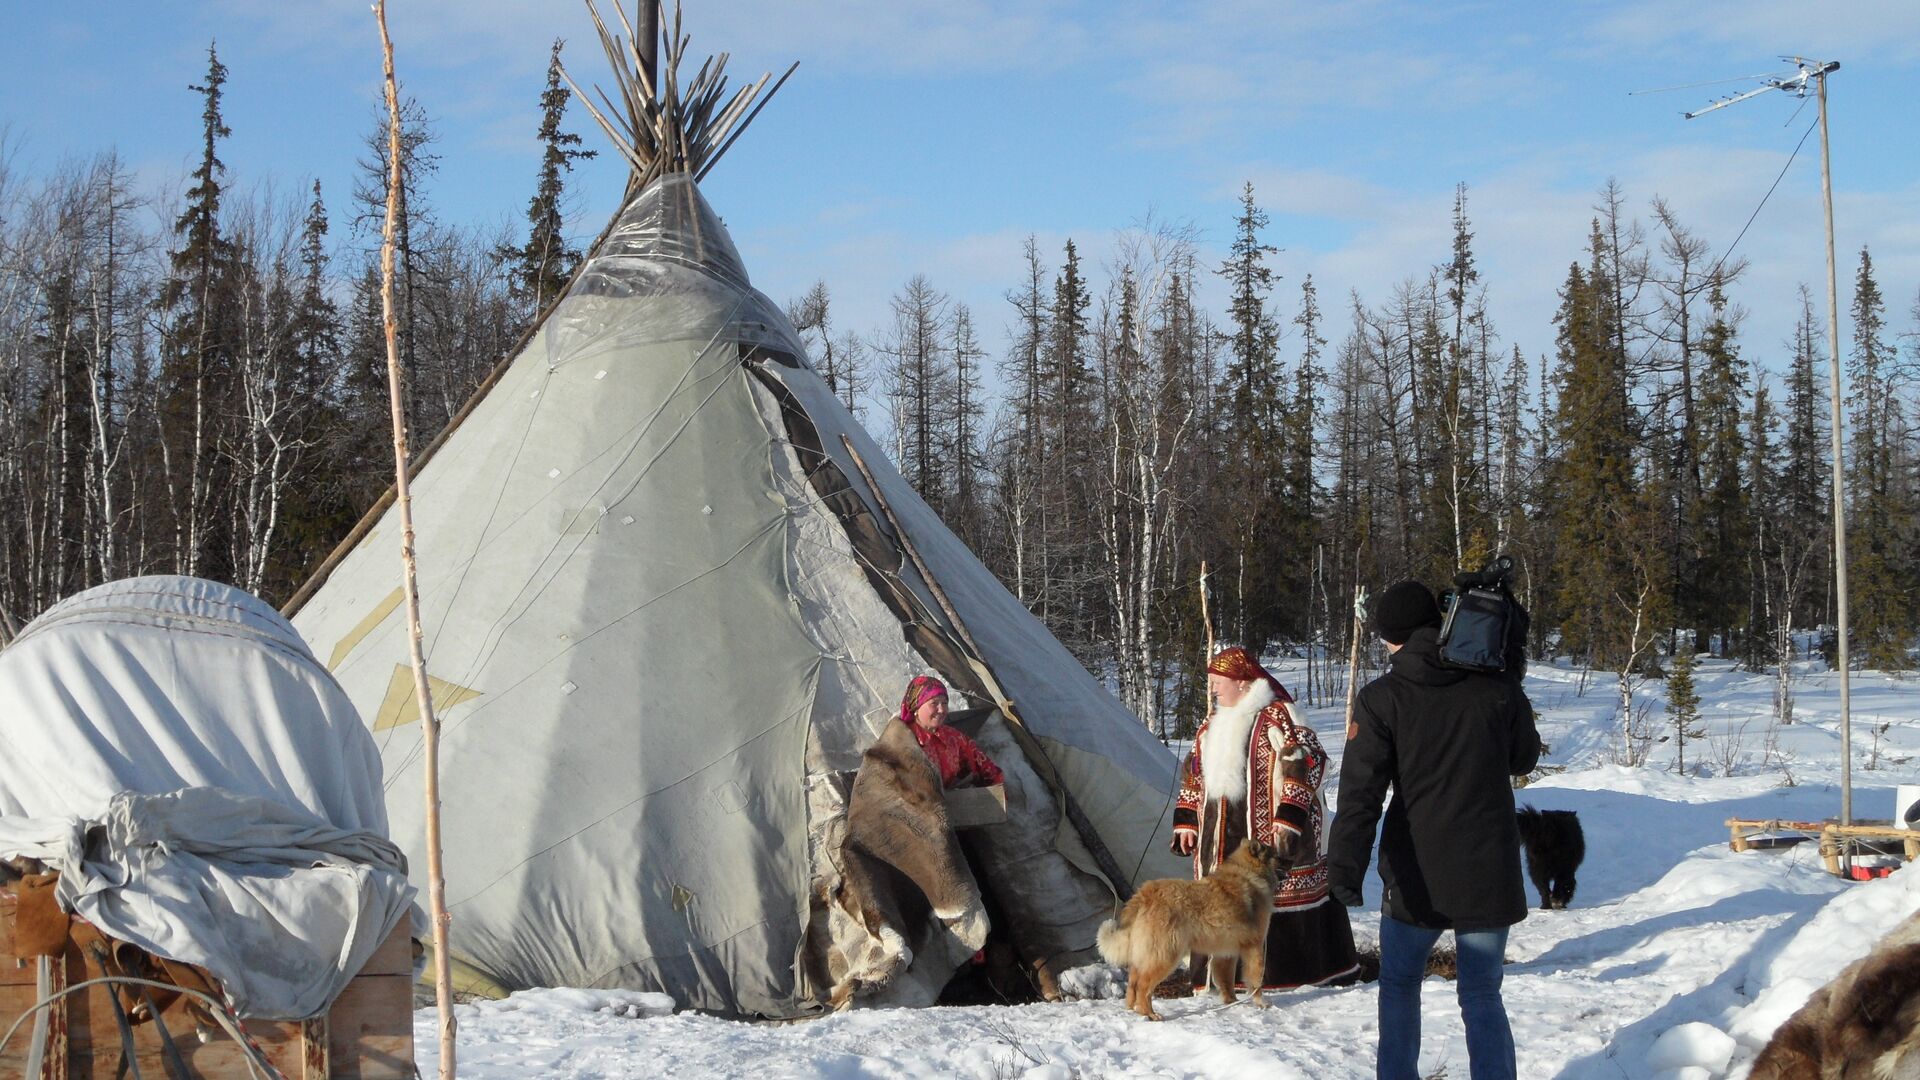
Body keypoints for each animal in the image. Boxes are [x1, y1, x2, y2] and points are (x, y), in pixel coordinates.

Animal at [1098, 834, 1290, 1014]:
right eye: (1277, 856)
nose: (1292, 860)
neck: (1249, 873)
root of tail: (1146, 893)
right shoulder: (1254, 946)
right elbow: (1255, 979)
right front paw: (1261, 1003)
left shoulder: (1226, 952)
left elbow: (1226, 981)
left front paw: (1231, 1002)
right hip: (1166, 955)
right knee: (1143, 986)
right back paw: (1150, 1015)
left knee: (1133, 982)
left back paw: (1133, 1010)